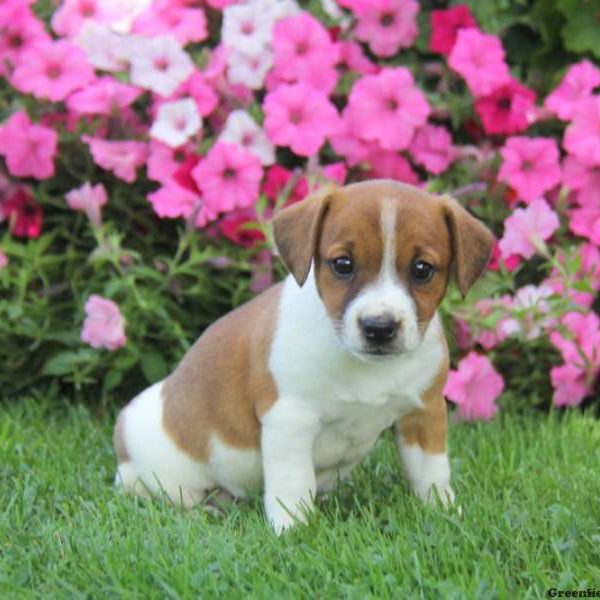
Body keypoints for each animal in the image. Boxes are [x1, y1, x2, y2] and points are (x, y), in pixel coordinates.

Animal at [112, 179, 492, 536]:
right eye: (343, 264)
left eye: (422, 269)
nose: (379, 327)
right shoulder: (290, 420)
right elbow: (293, 482)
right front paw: (292, 529)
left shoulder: (424, 413)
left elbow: (431, 471)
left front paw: (443, 510)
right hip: (163, 475)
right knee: (170, 499)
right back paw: (203, 510)